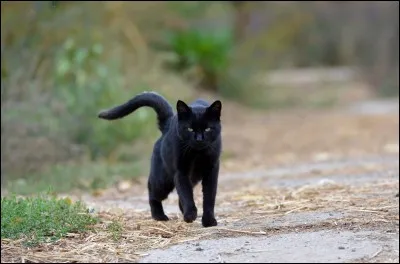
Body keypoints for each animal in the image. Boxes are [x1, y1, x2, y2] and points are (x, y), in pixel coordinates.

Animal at [97, 91, 222, 227]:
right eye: (190, 129)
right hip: (162, 181)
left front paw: (209, 220)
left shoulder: (211, 171)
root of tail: (168, 123)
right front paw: (190, 215)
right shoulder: (181, 172)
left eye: (208, 129)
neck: (198, 154)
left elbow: (209, 197)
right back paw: (159, 216)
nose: (199, 139)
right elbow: (186, 194)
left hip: (190, 178)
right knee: (153, 193)